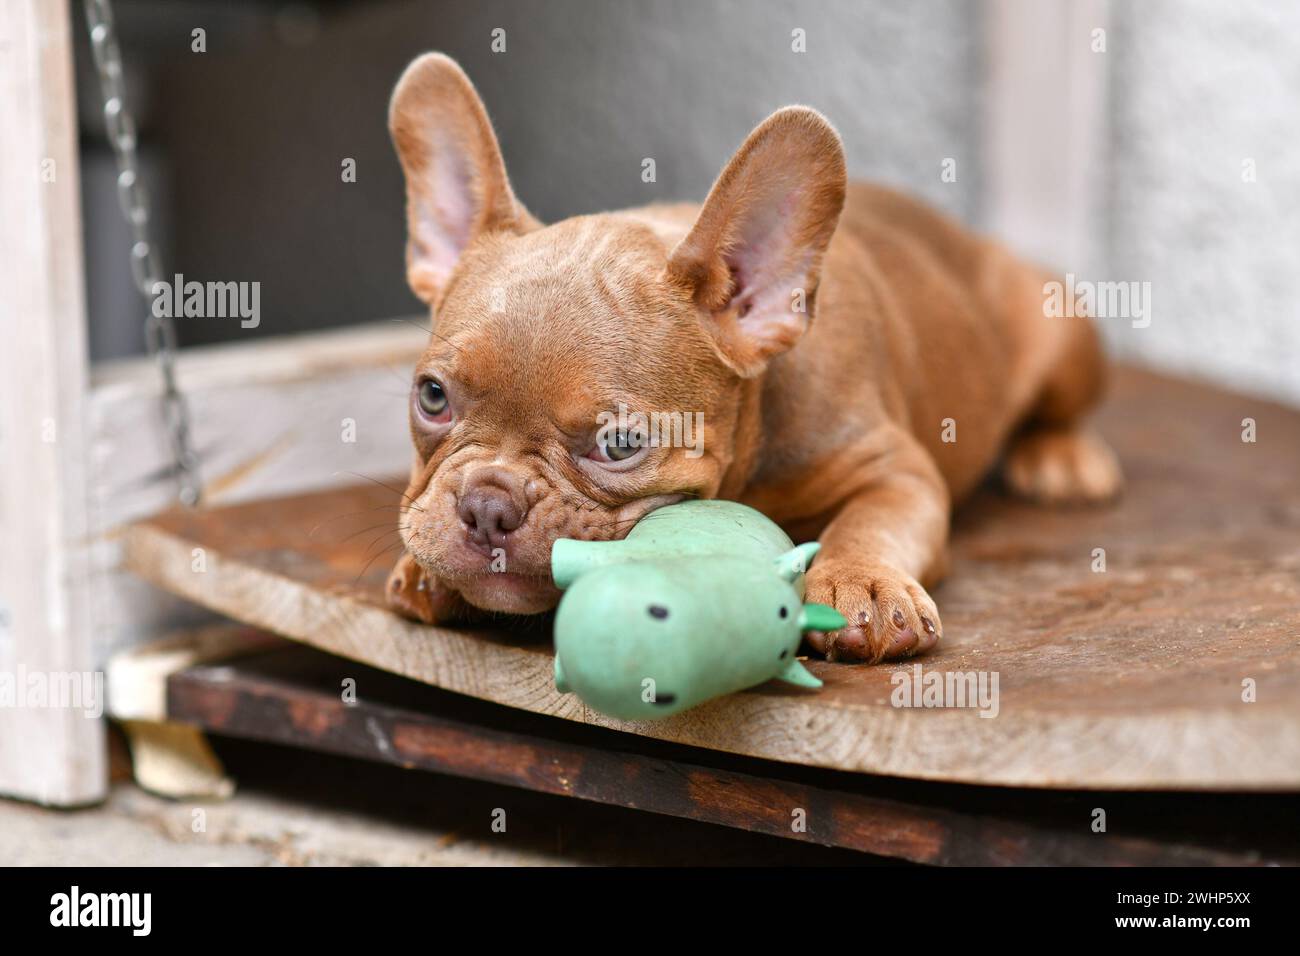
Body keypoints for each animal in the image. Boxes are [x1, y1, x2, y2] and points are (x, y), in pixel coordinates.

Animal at [379, 54, 1123, 665]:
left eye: (621, 443)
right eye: (432, 398)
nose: (486, 505)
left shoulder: (898, 470)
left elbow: (873, 520)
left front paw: (863, 582)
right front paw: (427, 570)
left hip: (1060, 328)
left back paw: (1059, 456)